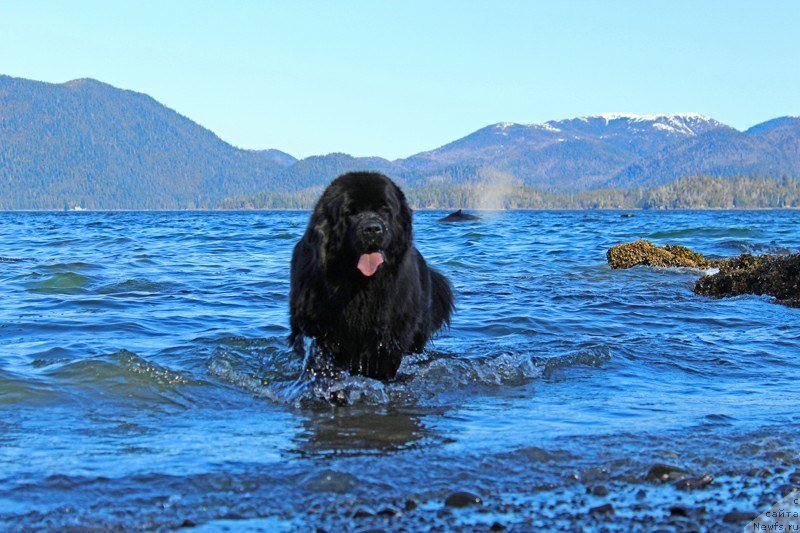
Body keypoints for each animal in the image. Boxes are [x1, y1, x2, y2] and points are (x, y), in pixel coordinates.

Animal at [288, 171, 454, 378]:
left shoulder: (389, 336)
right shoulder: (317, 329)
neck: (359, 286)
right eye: (351, 212)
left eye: (384, 210)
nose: (373, 229)